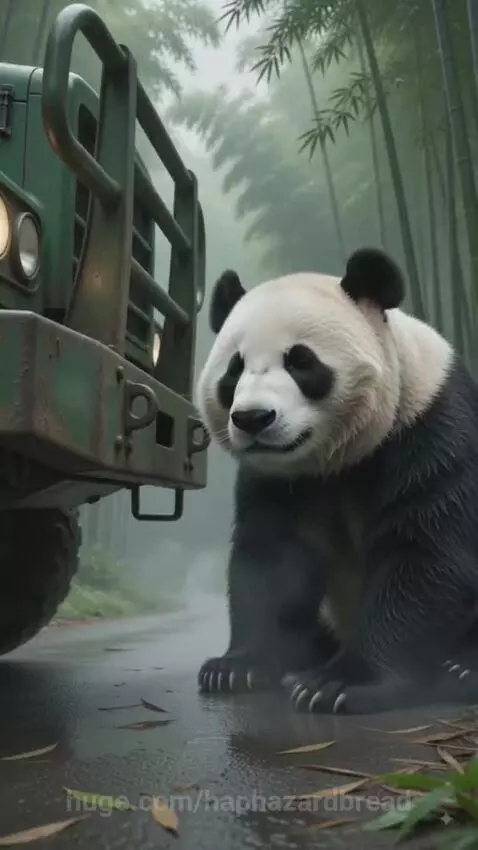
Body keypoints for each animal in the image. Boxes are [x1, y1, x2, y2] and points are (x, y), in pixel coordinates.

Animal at [195, 247, 478, 715]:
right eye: (234, 370)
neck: (338, 460)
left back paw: (463, 669)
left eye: (300, 361)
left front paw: (338, 684)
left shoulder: (431, 431)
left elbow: (426, 554)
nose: (253, 418)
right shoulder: (277, 478)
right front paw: (237, 667)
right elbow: (273, 559)